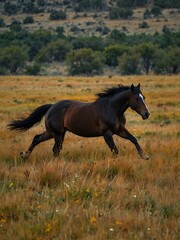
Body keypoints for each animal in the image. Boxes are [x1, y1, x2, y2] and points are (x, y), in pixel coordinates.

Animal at [7, 83, 150, 160]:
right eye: (137, 98)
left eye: (144, 97)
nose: (147, 114)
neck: (112, 109)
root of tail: (52, 107)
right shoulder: (107, 133)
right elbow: (115, 150)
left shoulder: (120, 130)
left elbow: (133, 139)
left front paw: (144, 156)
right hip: (56, 133)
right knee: (54, 148)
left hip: (55, 133)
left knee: (39, 140)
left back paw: (24, 155)